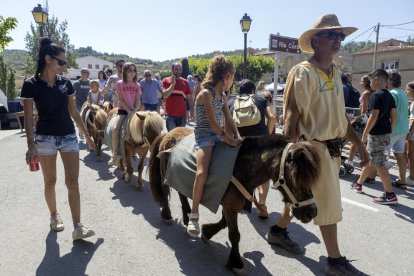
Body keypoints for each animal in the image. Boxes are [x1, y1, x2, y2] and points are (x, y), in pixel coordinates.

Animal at [148, 127, 320, 274]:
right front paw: (236, 263)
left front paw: (207, 232)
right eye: (297, 178)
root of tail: (168, 133)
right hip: (165, 175)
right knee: (164, 192)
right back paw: (168, 216)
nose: (312, 212)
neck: (241, 168)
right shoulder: (230, 205)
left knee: (182, 193)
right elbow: (234, 234)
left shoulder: (231, 204)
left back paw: (187, 217)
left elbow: (224, 223)